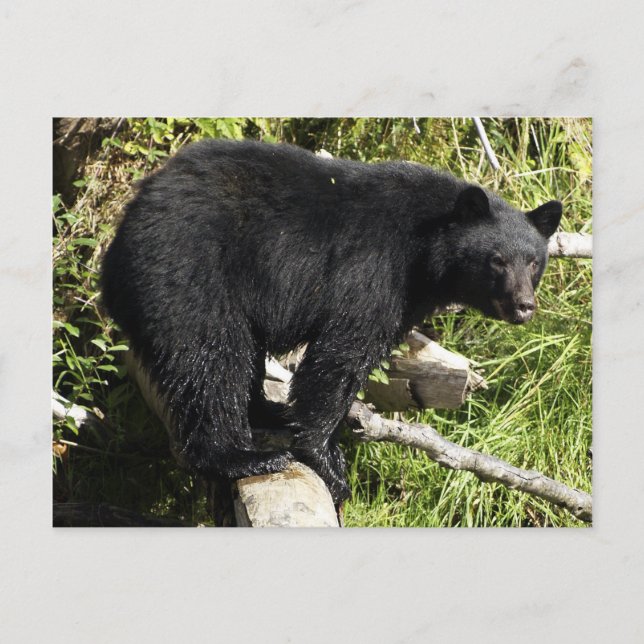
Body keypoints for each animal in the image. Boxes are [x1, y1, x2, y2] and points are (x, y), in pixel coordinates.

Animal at [101, 138, 562, 504]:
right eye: (496, 261)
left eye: (533, 261)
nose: (523, 305)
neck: (425, 251)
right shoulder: (374, 272)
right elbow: (342, 357)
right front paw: (329, 462)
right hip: (190, 274)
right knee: (211, 359)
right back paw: (241, 456)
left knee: (239, 355)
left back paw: (268, 412)